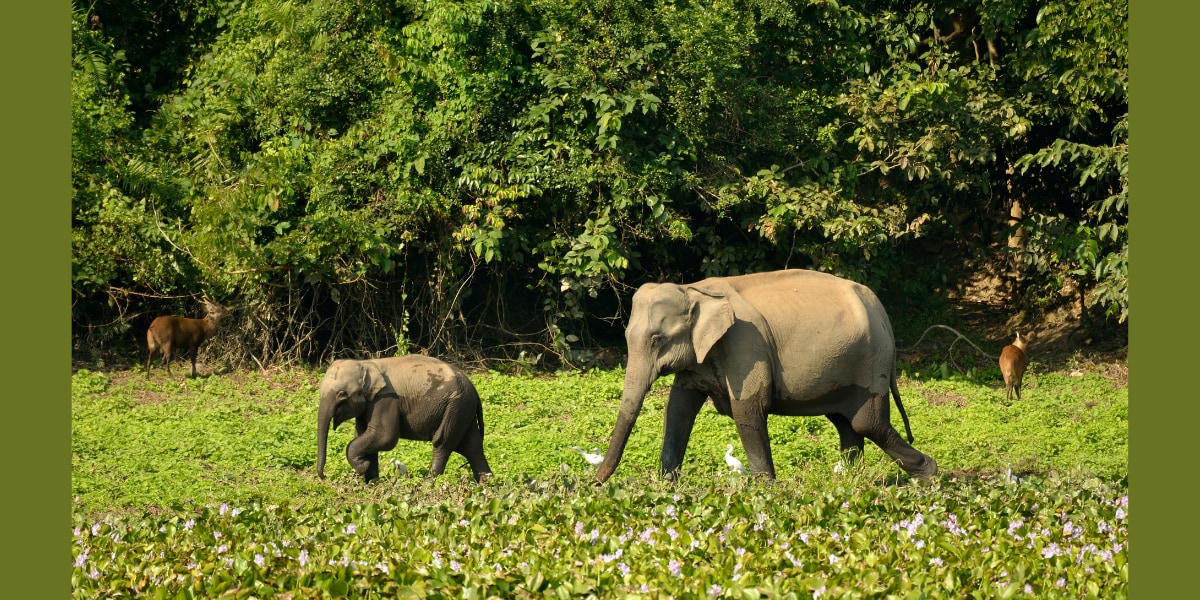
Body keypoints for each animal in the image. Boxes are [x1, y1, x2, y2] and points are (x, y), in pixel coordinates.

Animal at [316, 355, 494, 482]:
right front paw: (372, 482)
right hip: (463, 410)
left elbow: (384, 437)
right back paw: (487, 485)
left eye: (342, 394)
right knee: (472, 447)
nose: (325, 478)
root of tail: (474, 390)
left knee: (442, 443)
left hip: (455, 407)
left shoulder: (386, 399)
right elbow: (364, 435)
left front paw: (364, 468)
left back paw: (428, 484)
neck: (366, 363)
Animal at [597, 270, 936, 484]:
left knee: (867, 422)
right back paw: (847, 480)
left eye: (657, 340)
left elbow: (747, 410)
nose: (595, 485)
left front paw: (766, 490)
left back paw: (928, 475)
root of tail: (881, 310)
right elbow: (679, 409)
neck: (694, 289)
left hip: (871, 361)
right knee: (847, 424)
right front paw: (667, 487)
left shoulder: (745, 344)